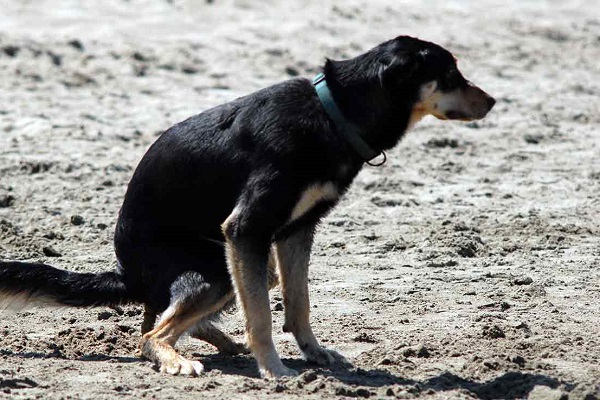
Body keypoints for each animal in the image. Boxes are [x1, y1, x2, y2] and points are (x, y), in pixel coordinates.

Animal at [0, 35, 494, 378]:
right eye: (451, 74)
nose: (493, 100)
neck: (334, 113)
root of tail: (128, 273)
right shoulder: (246, 229)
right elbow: (260, 317)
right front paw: (275, 370)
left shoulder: (295, 231)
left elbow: (297, 303)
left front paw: (314, 353)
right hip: (215, 269)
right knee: (151, 333)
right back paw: (176, 359)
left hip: (242, 264)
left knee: (168, 318)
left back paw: (216, 343)